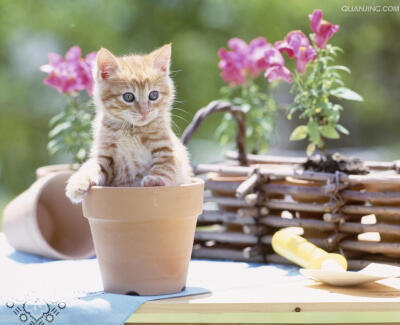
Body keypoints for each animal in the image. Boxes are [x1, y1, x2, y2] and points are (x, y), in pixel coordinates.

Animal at [65, 43, 192, 202]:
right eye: (128, 97)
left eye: (153, 95)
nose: (145, 112)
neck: (131, 129)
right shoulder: (104, 156)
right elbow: (91, 166)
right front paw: (78, 183)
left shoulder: (168, 151)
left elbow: (165, 167)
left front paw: (155, 180)